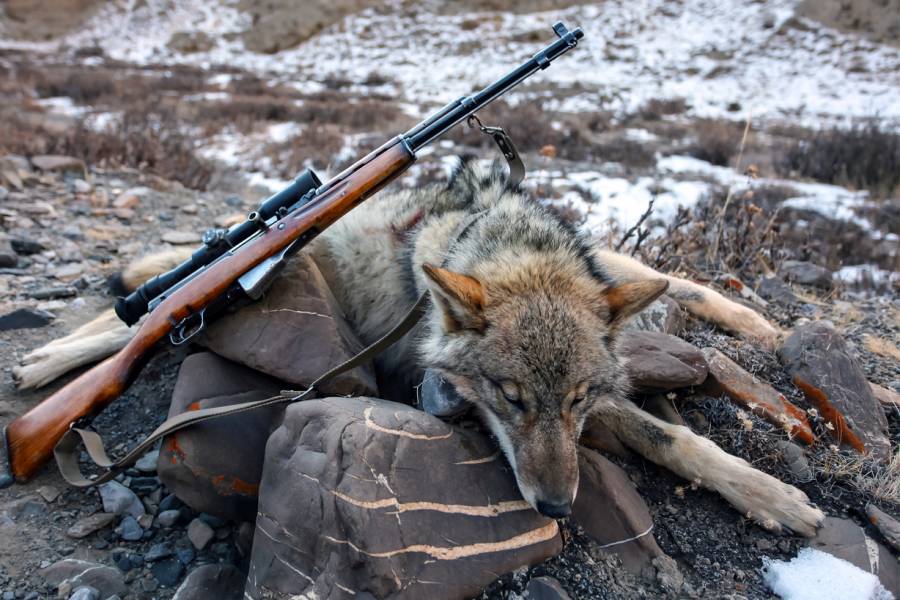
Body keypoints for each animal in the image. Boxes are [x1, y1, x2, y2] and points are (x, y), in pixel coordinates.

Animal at [15, 158, 828, 536]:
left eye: (576, 400)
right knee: (133, 315)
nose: (556, 508)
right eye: (508, 398)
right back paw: (45, 369)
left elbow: (676, 432)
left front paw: (776, 496)